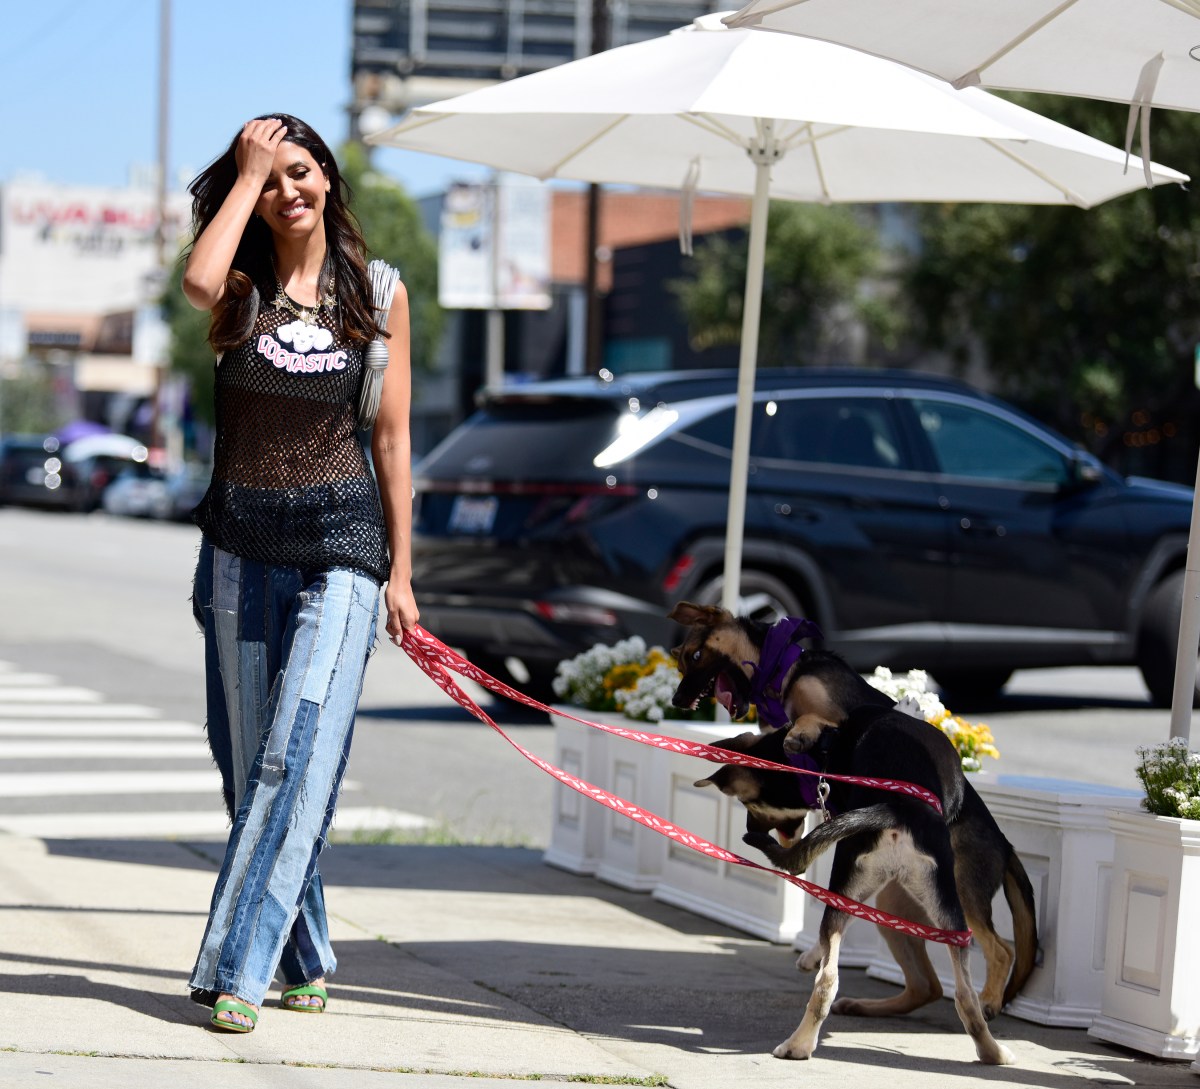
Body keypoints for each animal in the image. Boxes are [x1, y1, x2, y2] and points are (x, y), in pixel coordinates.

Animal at [672, 599, 1036, 1026]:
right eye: (680, 661)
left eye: (695, 656)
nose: (678, 701)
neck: (783, 671)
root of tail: (1005, 845)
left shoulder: (839, 714)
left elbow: (811, 723)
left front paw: (801, 735)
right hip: (895, 901)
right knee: (922, 982)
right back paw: (865, 1001)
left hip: (964, 891)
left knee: (1001, 949)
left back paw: (990, 1000)